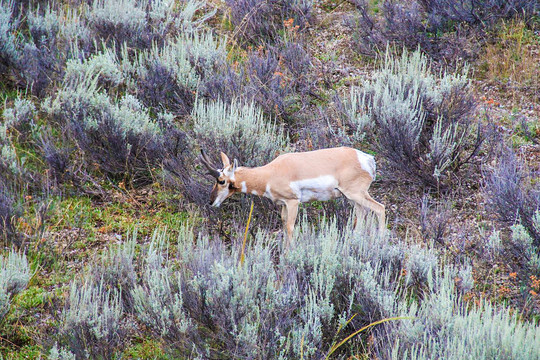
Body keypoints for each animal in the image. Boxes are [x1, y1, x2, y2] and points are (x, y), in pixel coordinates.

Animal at [200, 148, 386, 246]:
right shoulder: (283, 204)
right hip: (352, 197)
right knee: (362, 214)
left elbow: (290, 227)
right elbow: (284, 225)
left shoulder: (293, 202)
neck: (271, 172)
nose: (210, 201)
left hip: (356, 194)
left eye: (221, 180)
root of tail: (366, 158)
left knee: (380, 208)